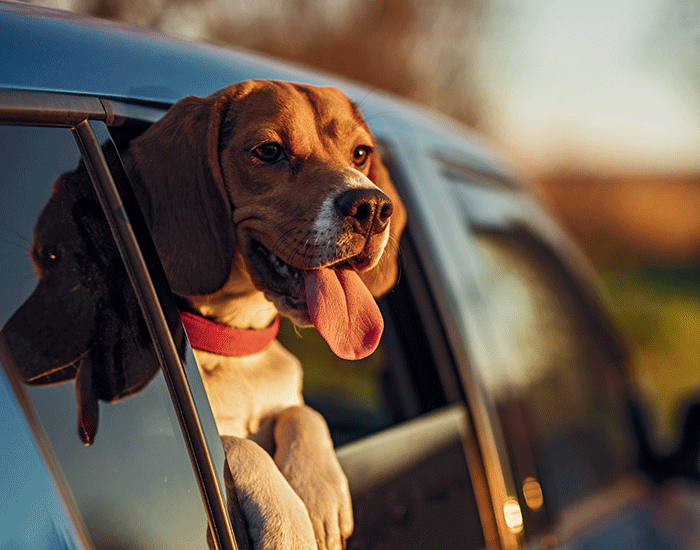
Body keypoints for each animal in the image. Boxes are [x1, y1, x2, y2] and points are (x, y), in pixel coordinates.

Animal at [121, 82, 404, 550]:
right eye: (269, 151)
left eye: (360, 153)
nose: (373, 207)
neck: (237, 344)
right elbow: (237, 444)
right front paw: (289, 525)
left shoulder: (292, 401)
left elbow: (304, 414)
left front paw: (319, 492)